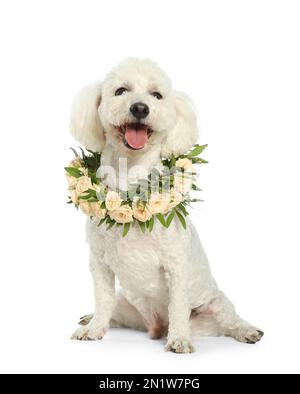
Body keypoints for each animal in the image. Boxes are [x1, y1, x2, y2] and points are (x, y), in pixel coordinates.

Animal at [69, 58, 262, 354]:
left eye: (156, 95)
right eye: (120, 91)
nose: (140, 108)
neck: (131, 184)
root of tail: (157, 326)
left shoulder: (176, 265)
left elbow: (178, 305)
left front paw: (179, 339)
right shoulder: (99, 263)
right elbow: (103, 299)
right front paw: (94, 329)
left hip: (216, 305)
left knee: (230, 320)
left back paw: (247, 330)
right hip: (127, 305)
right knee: (114, 309)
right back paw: (92, 319)